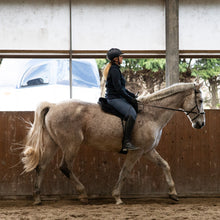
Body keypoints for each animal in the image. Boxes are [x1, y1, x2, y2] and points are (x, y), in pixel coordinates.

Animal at [21, 82, 205, 205]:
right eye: (201, 100)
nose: (200, 124)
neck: (151, 114)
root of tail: (52, 106)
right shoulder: (136, 151)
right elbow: (125, 171)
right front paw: (117, 197)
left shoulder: (148, 150)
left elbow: (165, 165)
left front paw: (173, 194)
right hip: (71, 144)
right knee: (65, 167)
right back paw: (83, 195)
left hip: (53, 144)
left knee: (41, 166)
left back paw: (37, 198)